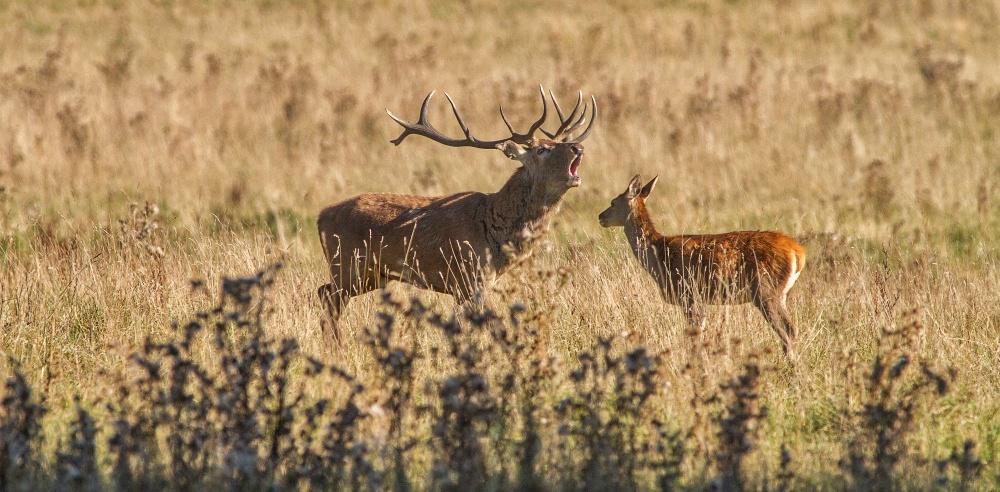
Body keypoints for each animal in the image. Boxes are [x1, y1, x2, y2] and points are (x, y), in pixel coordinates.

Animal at [318, 87, 592, 338]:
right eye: (541, 150)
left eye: (559, 143)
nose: (577, 146)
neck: (494, 226)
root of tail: (321, 217)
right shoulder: (471, 277)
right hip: (348, 264)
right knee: (329, 299)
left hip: (372, 275)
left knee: (324, 293)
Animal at [600, 175, 804, 356]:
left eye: (613, 202)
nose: (600, 216)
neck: (657, 255)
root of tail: (798, 252)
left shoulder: (688, 293)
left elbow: (695, 335)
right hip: (779, 293)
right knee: (791, 329)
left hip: (765, 290)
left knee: (787, 331)